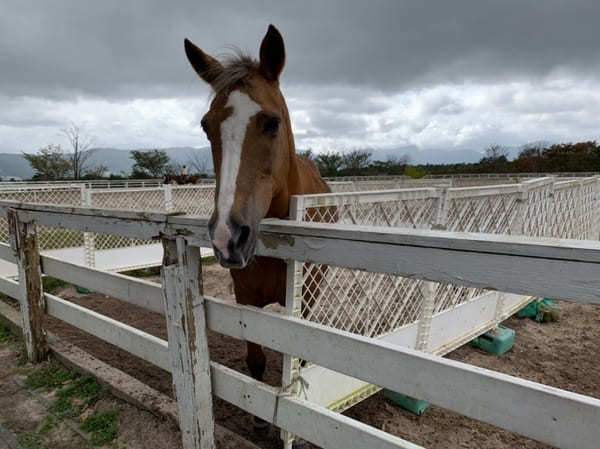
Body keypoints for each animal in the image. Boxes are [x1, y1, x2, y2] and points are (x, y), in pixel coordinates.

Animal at [185, 25, 330, 420]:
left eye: (272, 122)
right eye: (206, 126)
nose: (227, 236)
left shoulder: (302, 301)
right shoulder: (246, 300)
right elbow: (255, 363)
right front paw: (258, 420)